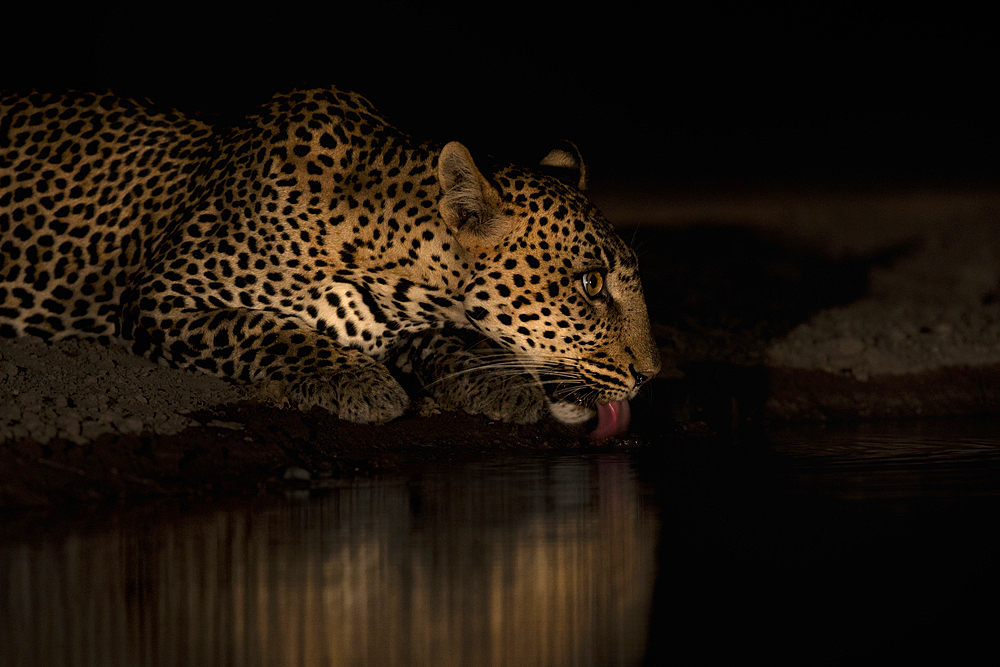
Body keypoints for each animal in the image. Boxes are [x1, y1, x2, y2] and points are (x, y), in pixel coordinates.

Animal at [1, 85, 664, 438]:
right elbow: (260, 329)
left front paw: (496, 379)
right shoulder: (157, 297)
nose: (651, 376)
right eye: (591, 283)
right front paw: (361, 383)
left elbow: (446, 335)